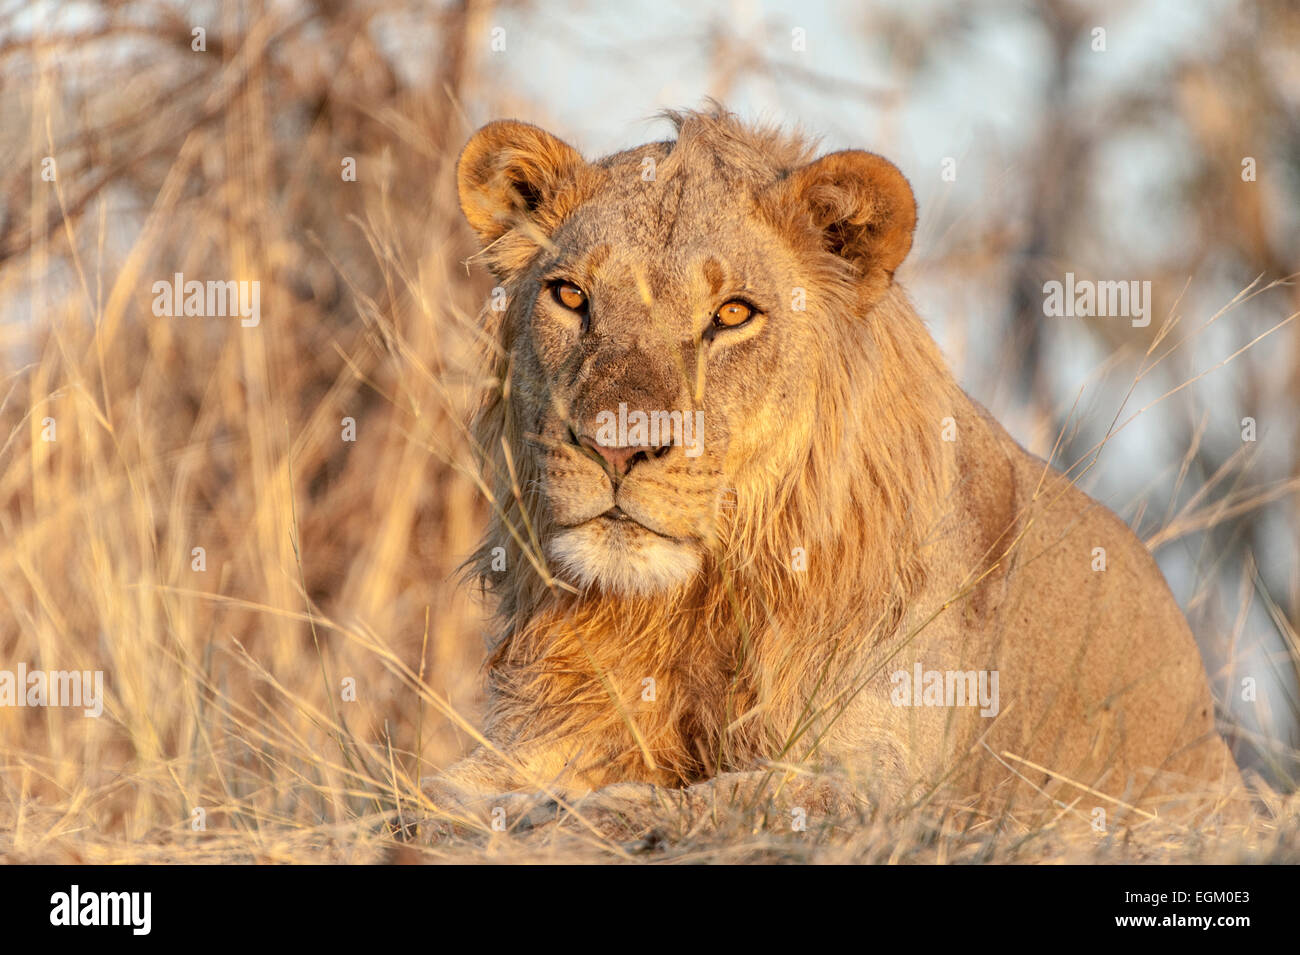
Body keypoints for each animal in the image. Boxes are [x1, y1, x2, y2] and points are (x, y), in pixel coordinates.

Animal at [439, 106, 1248, 836]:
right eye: (571, 296)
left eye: (732, 314)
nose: (616, 445)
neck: (692, 602)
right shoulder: (543, 724)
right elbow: (447, 779)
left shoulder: (889, 779)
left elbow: (733, 798)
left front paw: (591, 810)